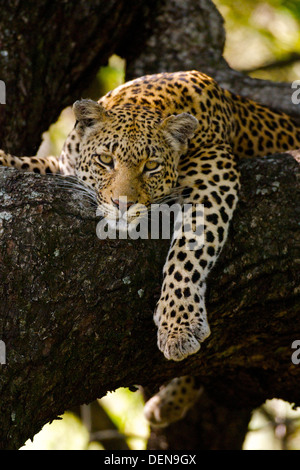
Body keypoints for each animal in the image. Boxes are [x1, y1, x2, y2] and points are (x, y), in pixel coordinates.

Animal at [0, 70, 300, 426]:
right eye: (105, 160)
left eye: (151, 166)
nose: (122, 204)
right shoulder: (63, 164)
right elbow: (33, 163)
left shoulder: (215, 174)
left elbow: (190, 249)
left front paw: (178, 325)